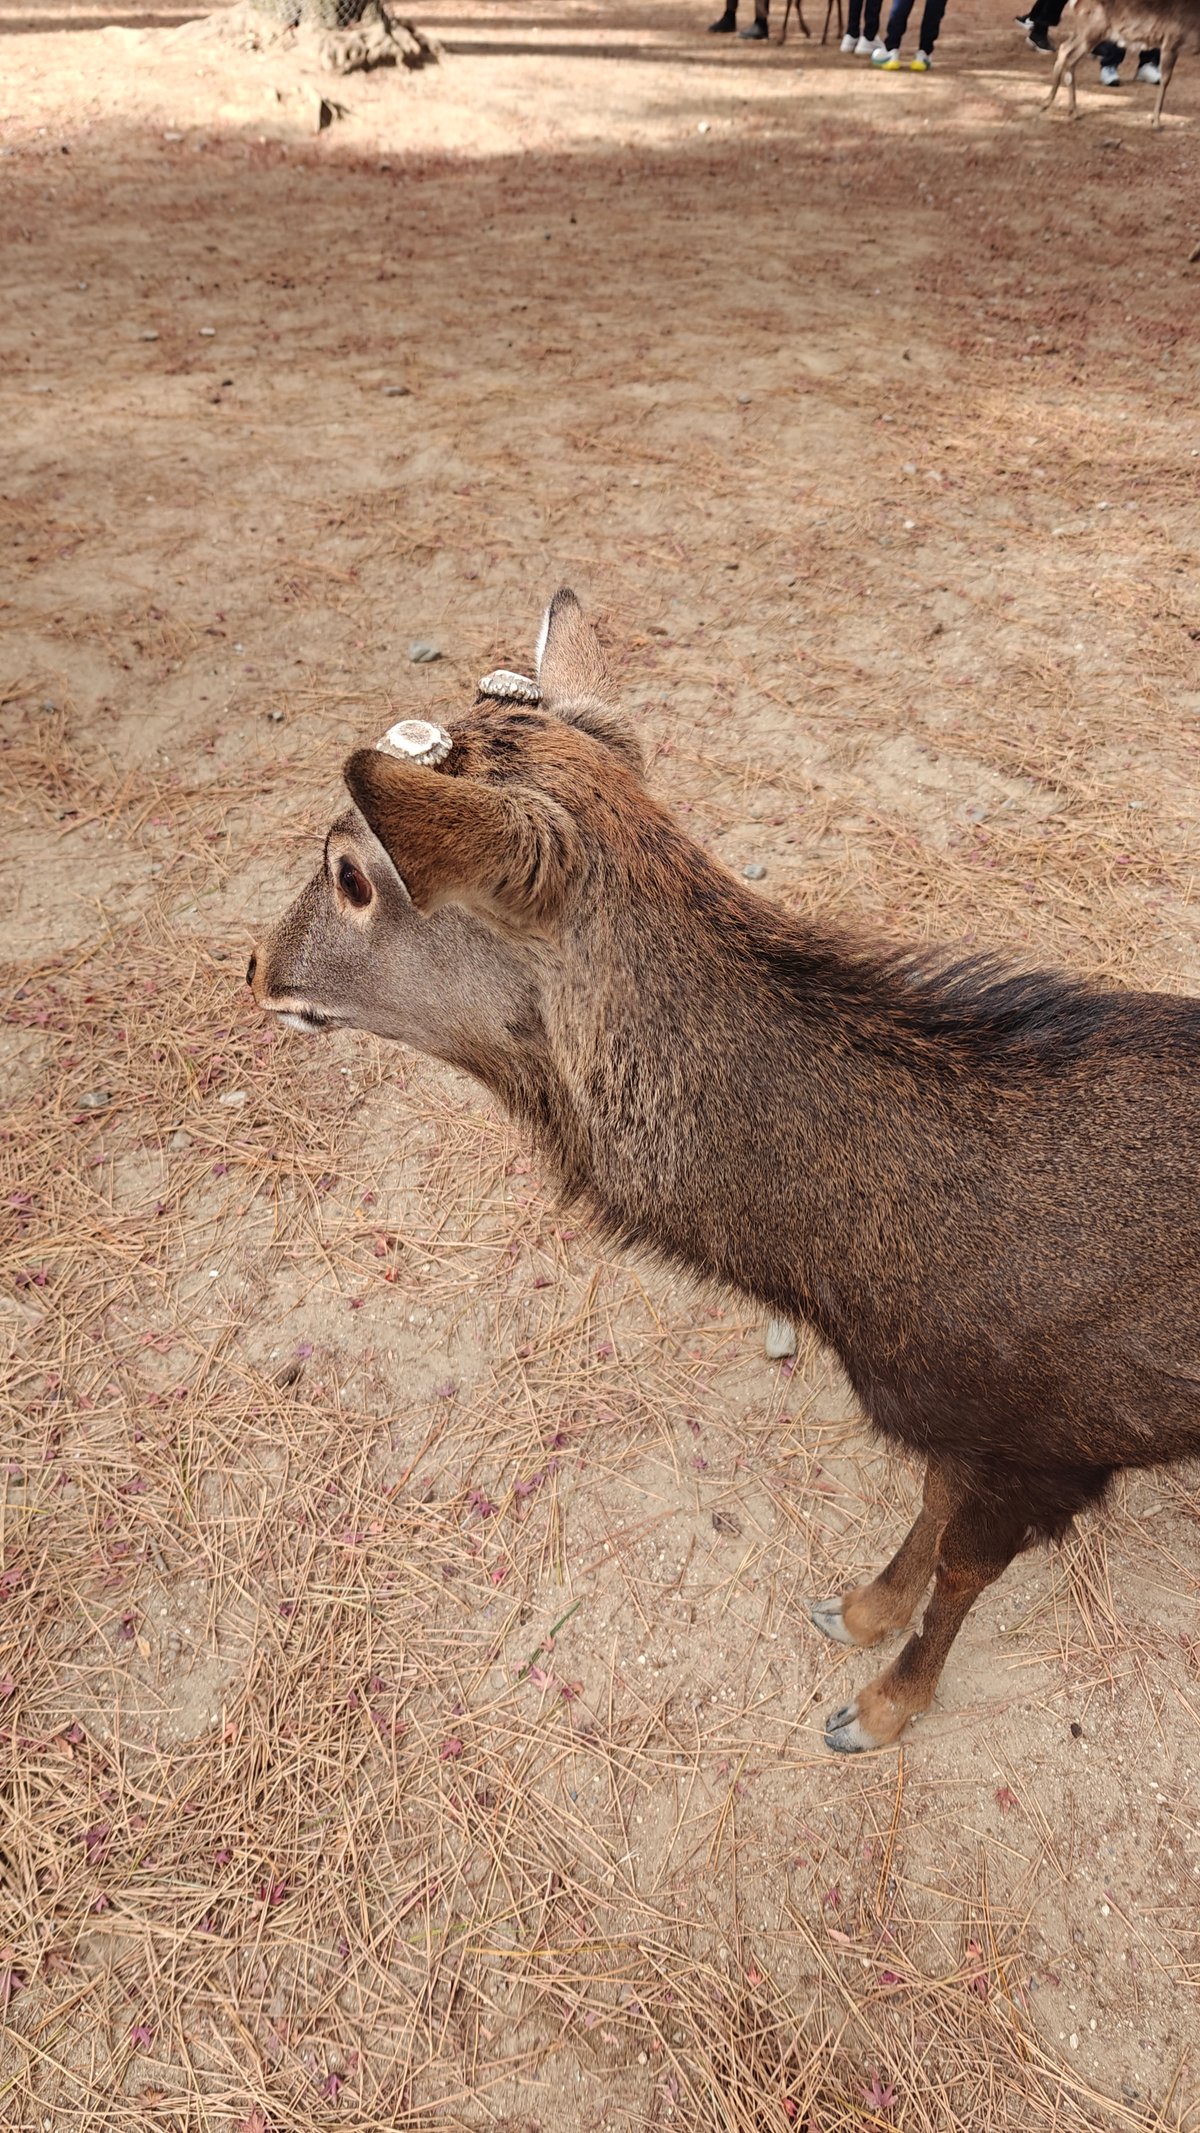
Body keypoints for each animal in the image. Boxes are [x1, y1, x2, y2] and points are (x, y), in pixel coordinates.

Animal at [248, 590, 1200, 1754]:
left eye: (350, 874)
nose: (255, 965)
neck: (859, 1285)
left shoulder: (1052, 1439)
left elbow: (964, 1567)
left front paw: (878, 1709)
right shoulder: (963, 1424)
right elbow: (928, 1508)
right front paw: (858, 1607)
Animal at [1043, 0, 1200, 123]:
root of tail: (1074, 2)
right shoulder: (1171, 41)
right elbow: (1166, 79)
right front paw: (1156, 121)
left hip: (1085, 31)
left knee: (1064, 49)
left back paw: (1056, 105)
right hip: (1093, 29)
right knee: (1069, 56)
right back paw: (1068, 109)